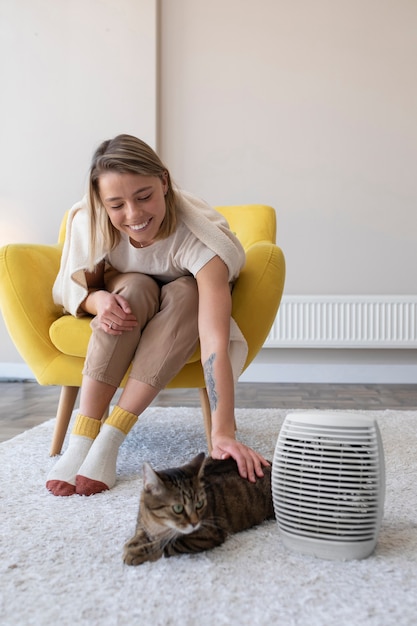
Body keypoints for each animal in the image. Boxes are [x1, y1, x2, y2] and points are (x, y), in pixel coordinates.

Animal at [123, 450, 272, 564]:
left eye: (199, 504)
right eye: (178, 508)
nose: (195, 523)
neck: (158, 525)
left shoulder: (207, 535)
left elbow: (169, 543)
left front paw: (137, 553)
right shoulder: (143, 520)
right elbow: (140, 532)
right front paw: (133, 543)